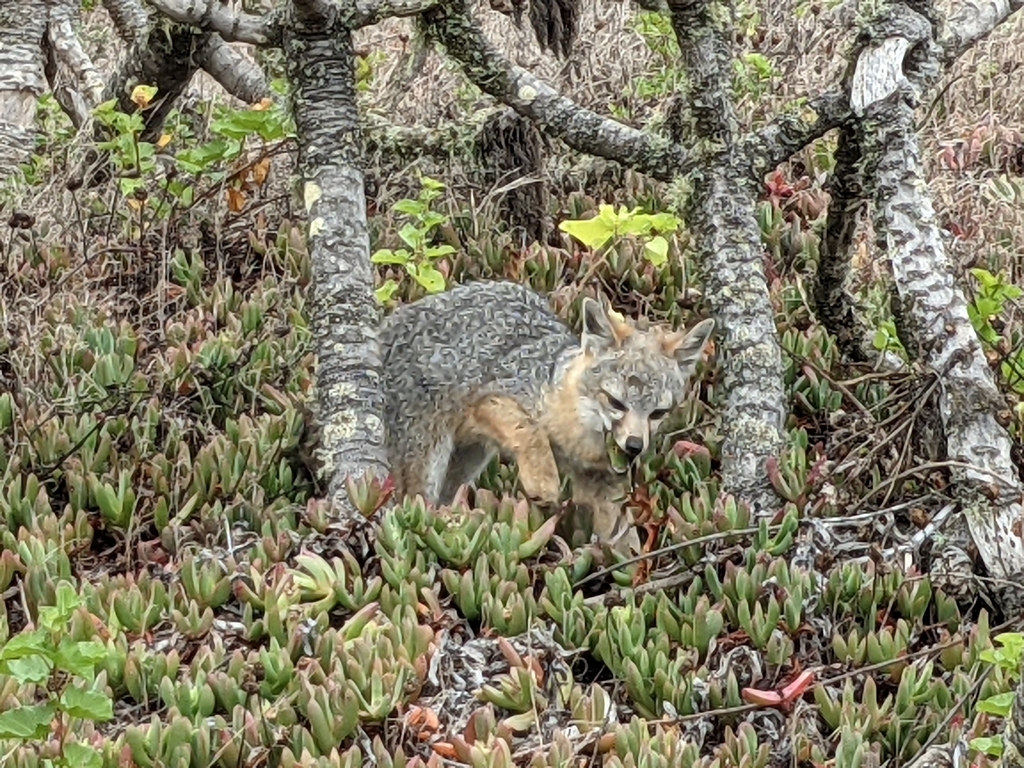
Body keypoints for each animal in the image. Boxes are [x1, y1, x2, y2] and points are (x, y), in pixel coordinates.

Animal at [378, 280, 715, 554]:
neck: (579, 440)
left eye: (658, 413)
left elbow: (620, 537)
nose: (634, 446)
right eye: (615, 402)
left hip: (466, 462)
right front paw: (544, 481)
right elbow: (529, 429)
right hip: (425, 464)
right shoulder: (491, 398)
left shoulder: (603, 486)